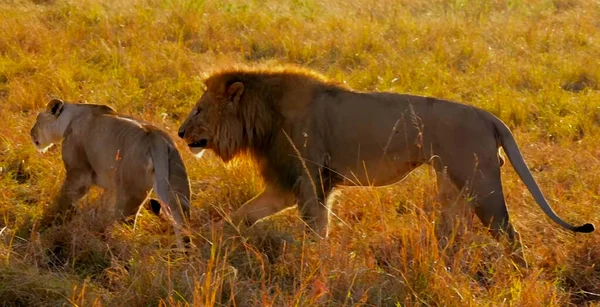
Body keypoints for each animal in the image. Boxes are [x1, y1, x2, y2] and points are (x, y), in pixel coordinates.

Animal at [31, 100, 190, 249]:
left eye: (37, 119)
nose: (31, 133)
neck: (72, 116)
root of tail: (156, 139)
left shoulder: (79, 173)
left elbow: (65, 198)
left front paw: (50, 220)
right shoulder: (111, 185)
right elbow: (103, 205)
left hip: (130, 191)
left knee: (126, 222)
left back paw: (114, 243)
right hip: (177, 184)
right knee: (182, 221)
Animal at [176, 67, 592, 264]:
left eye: (199, 109)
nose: (179, 133)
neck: (263, 115)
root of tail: (488, 116)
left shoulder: (308, 180)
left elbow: (316, 229)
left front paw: (316, 262)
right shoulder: (287, 185)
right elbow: (238, 216)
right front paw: (208, 242)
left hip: (482, 184)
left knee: (510, 234)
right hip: (453, 184)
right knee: (452, 234)